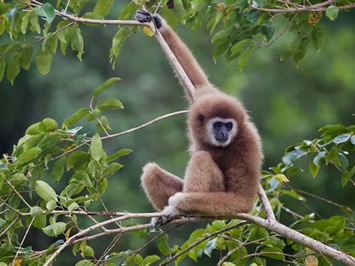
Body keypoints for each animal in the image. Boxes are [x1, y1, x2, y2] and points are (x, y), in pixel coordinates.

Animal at [136, 10, 264, 224]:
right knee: (151, 171)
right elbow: (197, 80)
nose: (224, 134)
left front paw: (179, 203)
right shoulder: (203, 97)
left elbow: (241, 200)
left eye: (229, 126)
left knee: (201, 158)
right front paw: (157, 23)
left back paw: (178, 210)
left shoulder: (248, 142)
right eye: (218, 125)